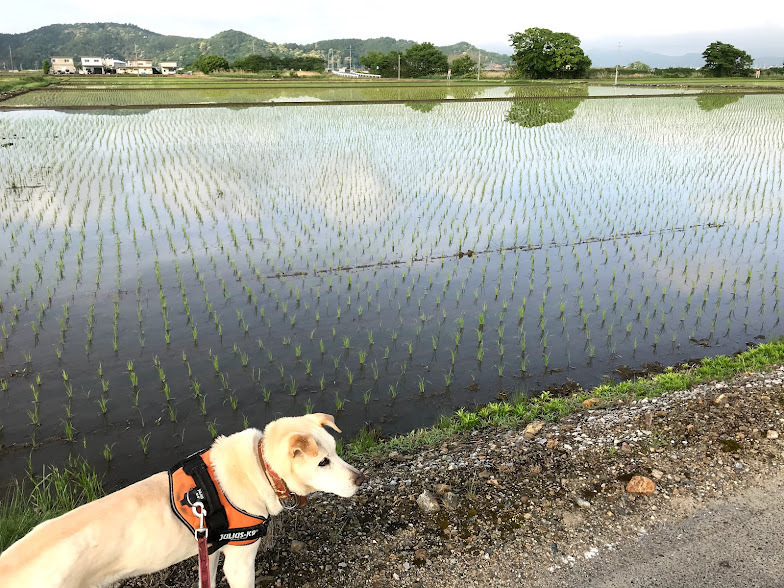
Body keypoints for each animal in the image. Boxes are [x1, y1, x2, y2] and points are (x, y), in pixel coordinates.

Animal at [0, 414, 364, 588]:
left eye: (336, 451)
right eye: (323, 462)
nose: (360, 479)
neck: (260, 466)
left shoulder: (212, 549)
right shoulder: (240, 560)